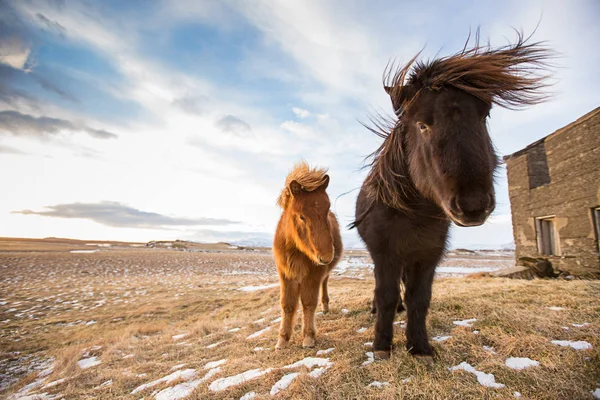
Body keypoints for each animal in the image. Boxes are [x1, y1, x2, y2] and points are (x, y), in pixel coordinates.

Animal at [274, 161, 342, 348]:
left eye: (327, 211)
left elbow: (308, 303)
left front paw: (309, 337)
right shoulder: (286, 274)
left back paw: (325, 306)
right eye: (301, 217)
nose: (326, 256)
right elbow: (287, 304)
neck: (296, 250)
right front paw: (282, 339)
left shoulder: (313, 275)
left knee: (324, 283)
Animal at [352, 32, 552, 360]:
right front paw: (381, 345)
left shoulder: (428, 254)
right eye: (422, 125)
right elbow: (385, 295)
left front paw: (420, 346)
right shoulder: (385, 253)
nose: (473, 205)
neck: (413, 213)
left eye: (484, 117)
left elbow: (420, 297)